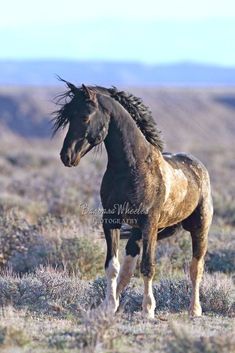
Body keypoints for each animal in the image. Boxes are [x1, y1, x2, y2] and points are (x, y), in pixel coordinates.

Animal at [52, 80, 213, 320]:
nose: (67, 156)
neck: (131, 167)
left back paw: (195, 310)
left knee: (196, 267)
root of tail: (198, 166)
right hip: (137, 232)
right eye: (69, 117)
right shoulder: (111, 220)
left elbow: (148, 266)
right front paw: (107, 307)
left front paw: (148, 309)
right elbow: (113, 266)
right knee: (128, 268)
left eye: (85, 117)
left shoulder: (150, 224)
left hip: (198, 228)